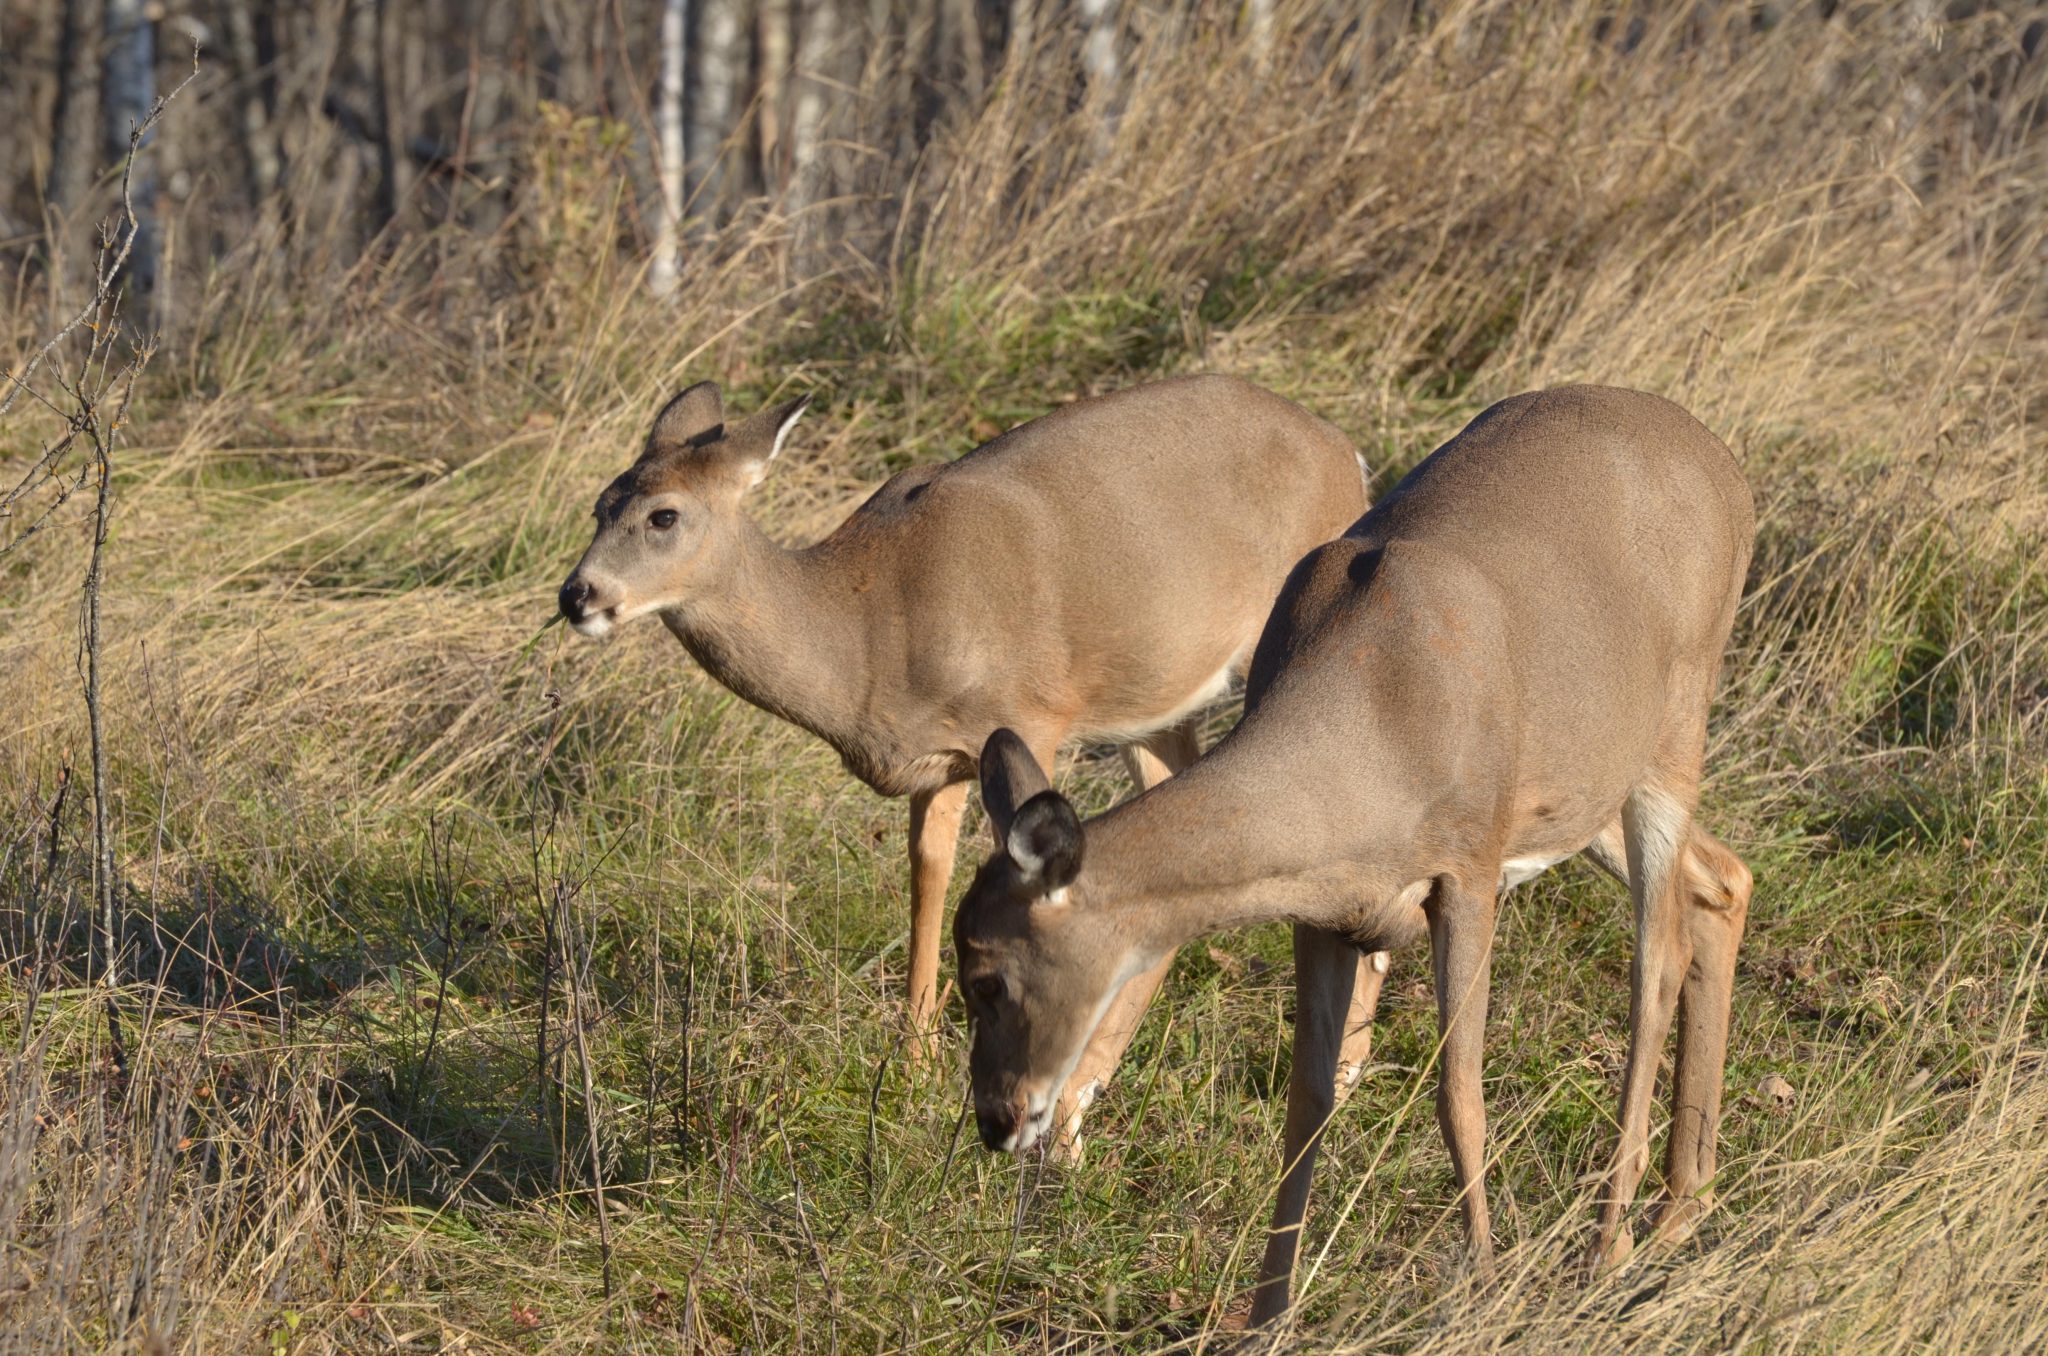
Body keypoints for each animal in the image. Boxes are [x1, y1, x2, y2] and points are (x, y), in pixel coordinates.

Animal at [557, 374, 1392, 1155]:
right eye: (599, 504)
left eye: (664, 515)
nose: (577, 596)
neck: (869, 630)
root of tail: (1345, 454)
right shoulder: (940, 762)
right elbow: (928, 872)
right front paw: (915, 1061)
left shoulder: (1030, 711)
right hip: (1158, 700)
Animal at [950, 385, 1753, 1327]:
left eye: (989, 977)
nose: (997, 1119)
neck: (1375, 718)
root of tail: (1726, 469)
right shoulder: (1327, 907)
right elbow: (1309, 1101)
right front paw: (1264, 1320)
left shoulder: (1468, 868)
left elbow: (1458, 1092)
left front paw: (1484, 1291)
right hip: (1591, 788)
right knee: (1721, 883)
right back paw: (1681, 1209)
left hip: (1673, 738)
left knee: (1656, 961)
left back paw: (1610, 1246)